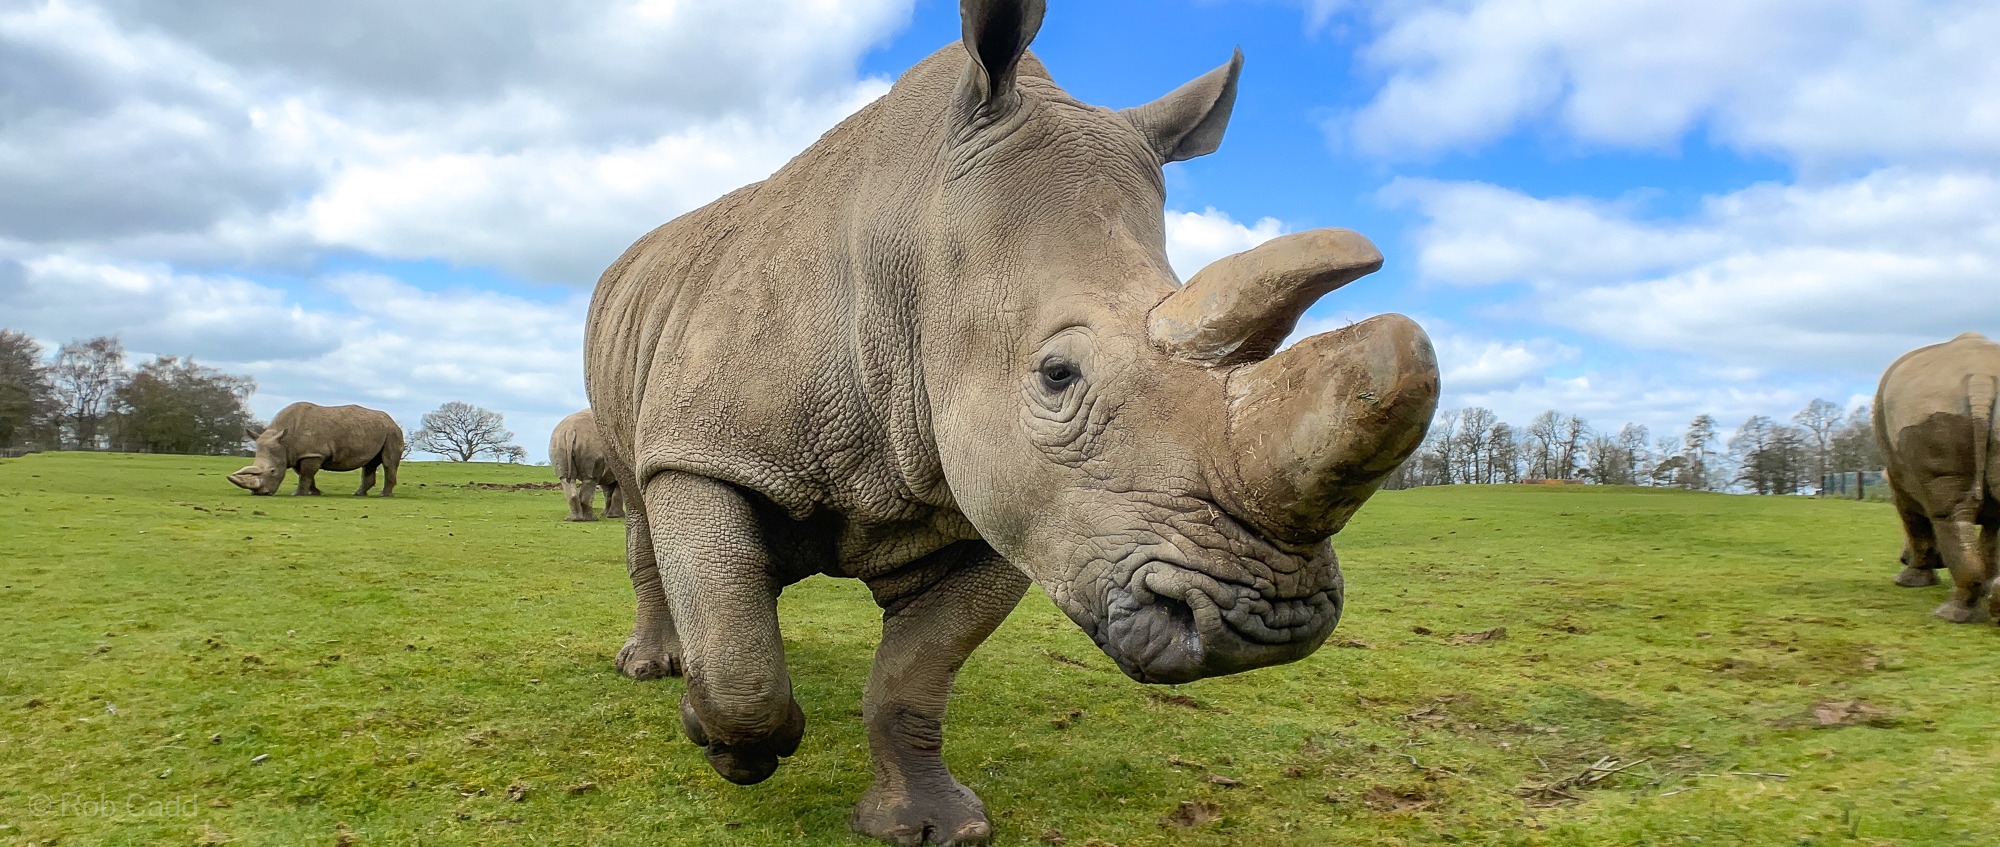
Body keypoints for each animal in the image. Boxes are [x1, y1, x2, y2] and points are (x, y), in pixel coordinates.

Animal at [228, 402, 402, 497]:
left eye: (272, 471)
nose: (261, 493)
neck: (284, 441)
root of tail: (392, 420)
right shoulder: (298, 454)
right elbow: (304, 474)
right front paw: (315, 492)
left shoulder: (312, 454)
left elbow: (306, 474)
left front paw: (298, 494)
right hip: (376, 430)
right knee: (370, 463)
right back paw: (359, 494)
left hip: (392, 432)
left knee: (388, 462)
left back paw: (384, 495)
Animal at [582, 1, 1438, 842]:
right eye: (1057, 376)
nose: (1270, 619)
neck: (913, 252)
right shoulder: (701, 446)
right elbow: (741, 667)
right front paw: (718, 734)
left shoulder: (1013, 502)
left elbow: (915, 675)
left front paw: (931, 825)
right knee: (642, 509)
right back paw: (655, 667)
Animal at [1878, 331, 2000, 622]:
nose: (1901, 557)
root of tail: (1982, 377)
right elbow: (1991, 542)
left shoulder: (1899, 481)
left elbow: (1913, 521)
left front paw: (1909, 582)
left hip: (1927, 412)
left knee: (1947, 515)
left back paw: (1949, 614)